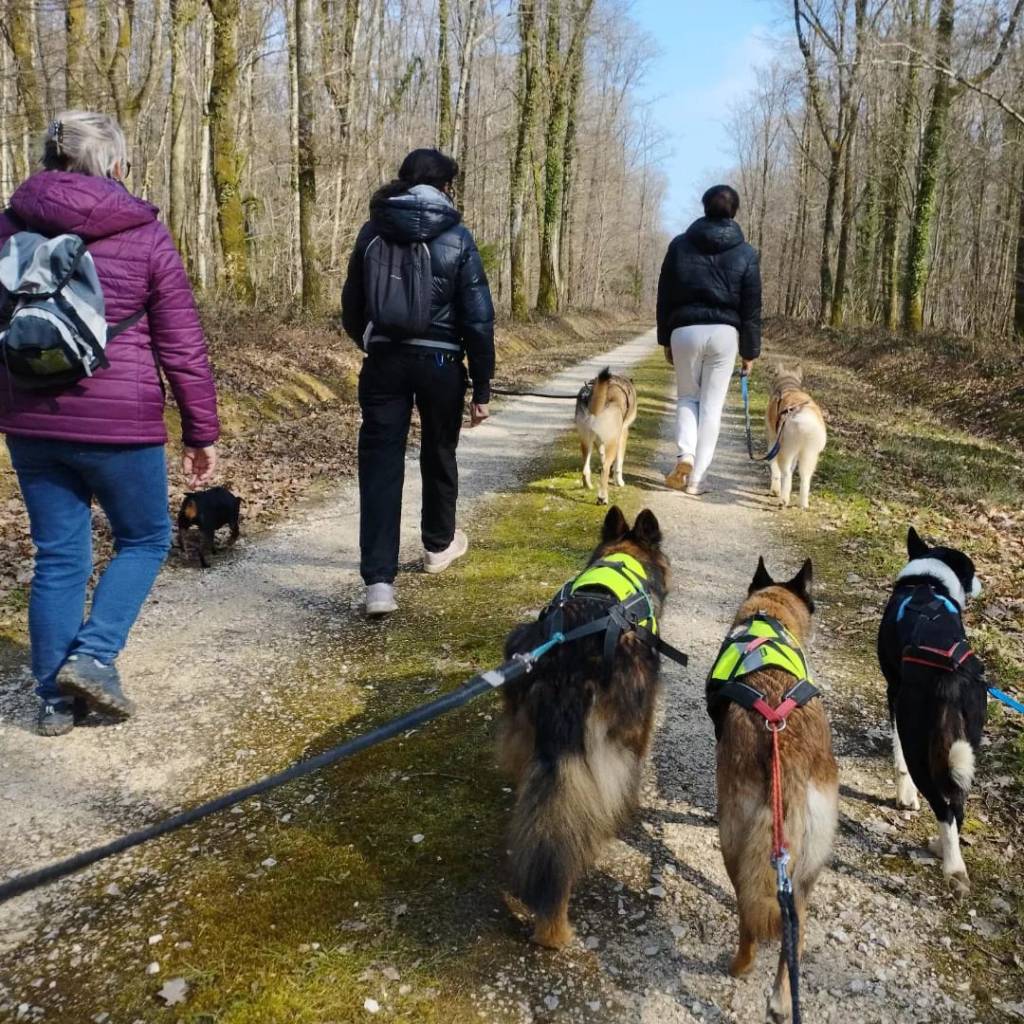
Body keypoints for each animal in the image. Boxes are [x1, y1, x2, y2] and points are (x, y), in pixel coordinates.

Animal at [575, 368, 638, 505]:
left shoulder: (599, 440)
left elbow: (602, 453)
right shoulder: (623, 434)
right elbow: (619, 464)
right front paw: (619, 481)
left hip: (586, 442)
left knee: (585, 468)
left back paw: (588, 485)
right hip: (612, 443)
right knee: (605, 469)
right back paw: (602, 497)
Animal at [708, 557, 838, 1022]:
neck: (770, 617)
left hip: (734, 842)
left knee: (748, 916)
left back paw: (739, 966)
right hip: (807, 865)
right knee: (793, 928)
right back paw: (783, 998)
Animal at [766, 364, 826, 510]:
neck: (789, 387)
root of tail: (803, 415)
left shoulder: (773, 441)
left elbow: (774, 469)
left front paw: (774, 489)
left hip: (785, 451)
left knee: (786, 474)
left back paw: (783, 499)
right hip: (809, 455)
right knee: (805, 479)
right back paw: (803, 504)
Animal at [877, 526, 986, 894]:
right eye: (971, 570)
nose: (981, 582)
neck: (927, 582)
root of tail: (949, 676)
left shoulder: (893, 694)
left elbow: (898, 760)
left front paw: (905, 796)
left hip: (921, 742)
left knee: (943, 806)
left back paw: (953, 866)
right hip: (965, 746)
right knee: (957, 805)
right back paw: (945, 851)